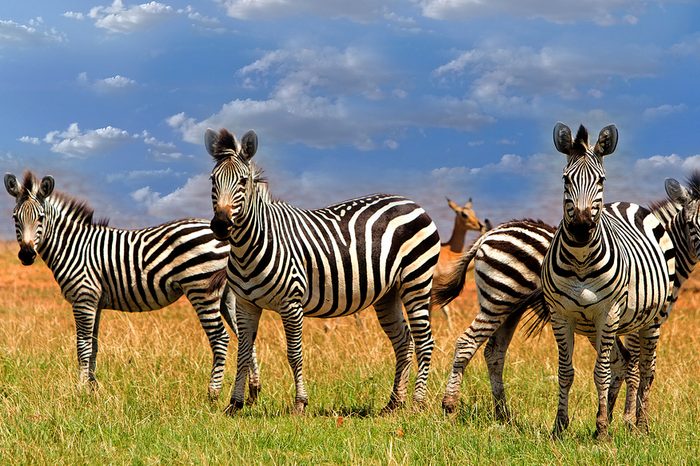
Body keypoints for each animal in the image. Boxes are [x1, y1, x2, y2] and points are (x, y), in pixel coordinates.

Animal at [4, 171, 262, 400]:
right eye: (15, 218)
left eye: (41, 218)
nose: (26, 255)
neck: (74, 246)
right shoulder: (95, 302)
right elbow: (94, 346)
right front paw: (93, 389)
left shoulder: (84, 298)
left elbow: (82, 346)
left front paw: (80, 390)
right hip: (230, 294)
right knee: (245, 337)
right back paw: (253, 391)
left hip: (202, 289)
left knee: (220, 339)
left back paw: (213, 394)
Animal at [205, 127, 440, 416]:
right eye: (213, 180)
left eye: (242, 181)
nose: (221, 225)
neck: (250, 246)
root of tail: (412, 202)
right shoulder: (246, 304)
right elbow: (244, 353)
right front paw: (235, 404)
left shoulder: (291, 303)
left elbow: (294, 353)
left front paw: (300, 403)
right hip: (389, 292)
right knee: (404, 341)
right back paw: (394, 403)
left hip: (417, 280)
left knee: (424, 340)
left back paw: (417, 403)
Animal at [540, 122, 672, 438]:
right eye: (565, 179)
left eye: (601, 180)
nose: (580, 228)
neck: (580, 260)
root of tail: (626, 204)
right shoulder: (560, 314)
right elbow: (565, 372)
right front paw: (560, 427)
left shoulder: (608, 313)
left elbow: (601, 373)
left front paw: (601, 430)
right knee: (628, 364)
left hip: (654, 318)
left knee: (646, 369)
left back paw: (641, 425)